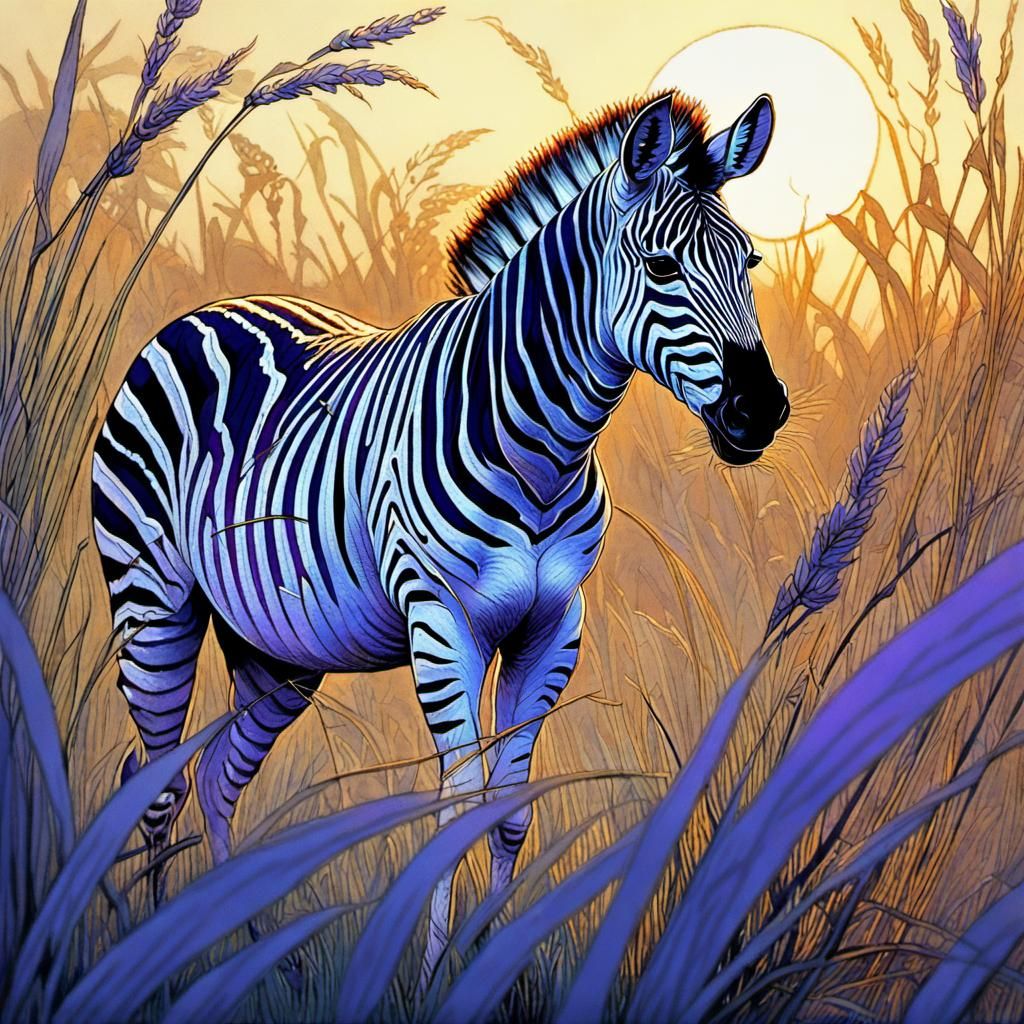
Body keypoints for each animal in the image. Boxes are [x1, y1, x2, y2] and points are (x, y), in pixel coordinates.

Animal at [91, 89, 789, 985]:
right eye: (663, 268)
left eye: (751, 263)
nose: (760, 411)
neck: (543, 451)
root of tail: (204, 311)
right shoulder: (441, 620)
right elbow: (459, 809)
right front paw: (431, 980)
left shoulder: (553, 627)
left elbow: (512, 810)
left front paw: (489, 966)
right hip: (152, 601)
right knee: (155, 783)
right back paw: (150, 959)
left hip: (278, 647)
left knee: (215, 778)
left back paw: (233, 952)